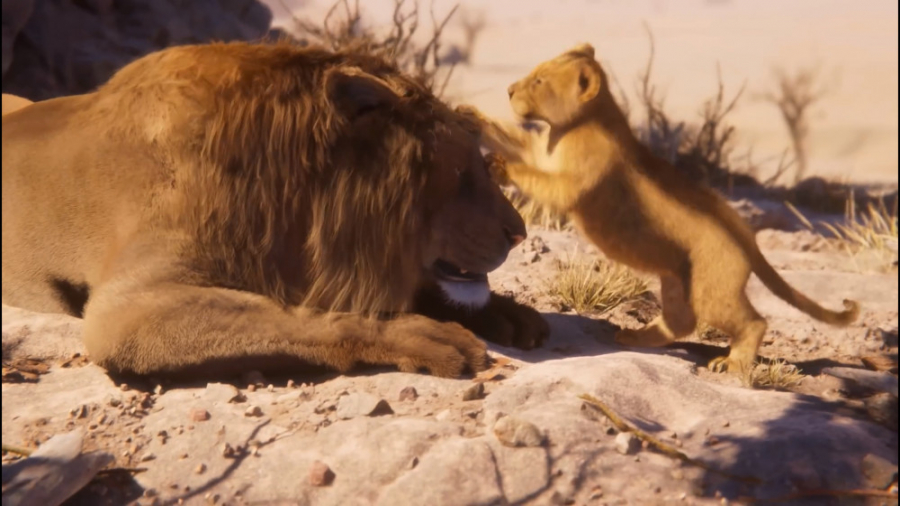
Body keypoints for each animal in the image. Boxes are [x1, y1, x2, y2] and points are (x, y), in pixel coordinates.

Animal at [1, 41, 549, 381]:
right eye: (460, 174)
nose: (519, 234)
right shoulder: (124, 310)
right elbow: (296, 316)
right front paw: (428, 335)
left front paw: (510, 314)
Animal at [457, 43, 858, 375]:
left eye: (539, 80)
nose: (509, 90)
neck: (569, 127)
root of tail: (748, 237)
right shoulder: (539, 150)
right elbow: (510, 138)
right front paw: (470, 114)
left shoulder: (575, 181)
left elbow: (537, 178)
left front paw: (499, 166)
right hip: (677, 281)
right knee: (681, 322)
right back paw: (635, 337)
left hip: (712, 288)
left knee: (751, 322)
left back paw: (732, 363)